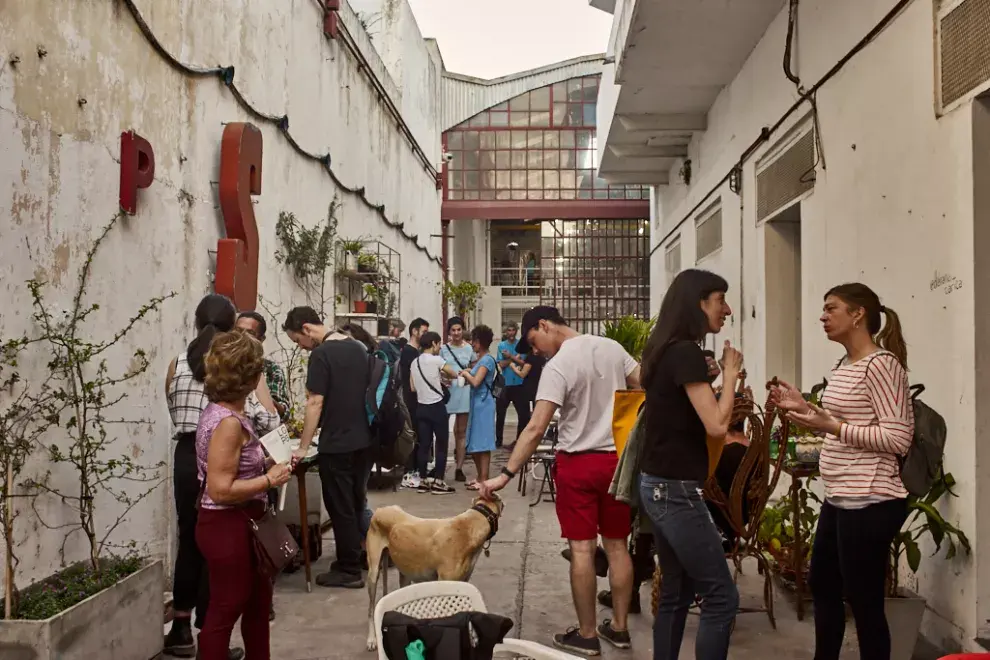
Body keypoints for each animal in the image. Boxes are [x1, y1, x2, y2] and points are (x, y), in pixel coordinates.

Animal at [366, 496, 508, 648]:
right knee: (371, 608)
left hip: (404, 571)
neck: (468, 527)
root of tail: (381, 510)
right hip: (373, 573)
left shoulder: (462, 585)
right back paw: (372, 639)